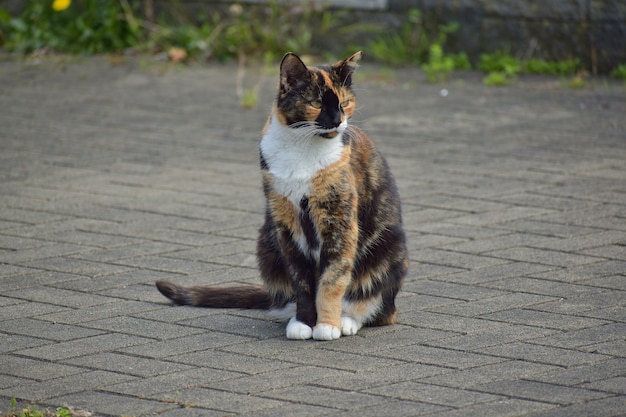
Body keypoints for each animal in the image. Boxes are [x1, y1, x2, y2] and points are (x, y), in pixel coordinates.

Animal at [155, 51, 410, 338]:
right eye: (316, 102)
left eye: (344, 103)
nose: (338, 121)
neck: (302, 149)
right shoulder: (286, 224)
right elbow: (301, 281)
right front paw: (304, 322)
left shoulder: (339, 220)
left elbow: (333, 278)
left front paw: (327, 325)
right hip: (266, 242)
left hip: (390, 247)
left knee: (379, 308)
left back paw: (347, 321)